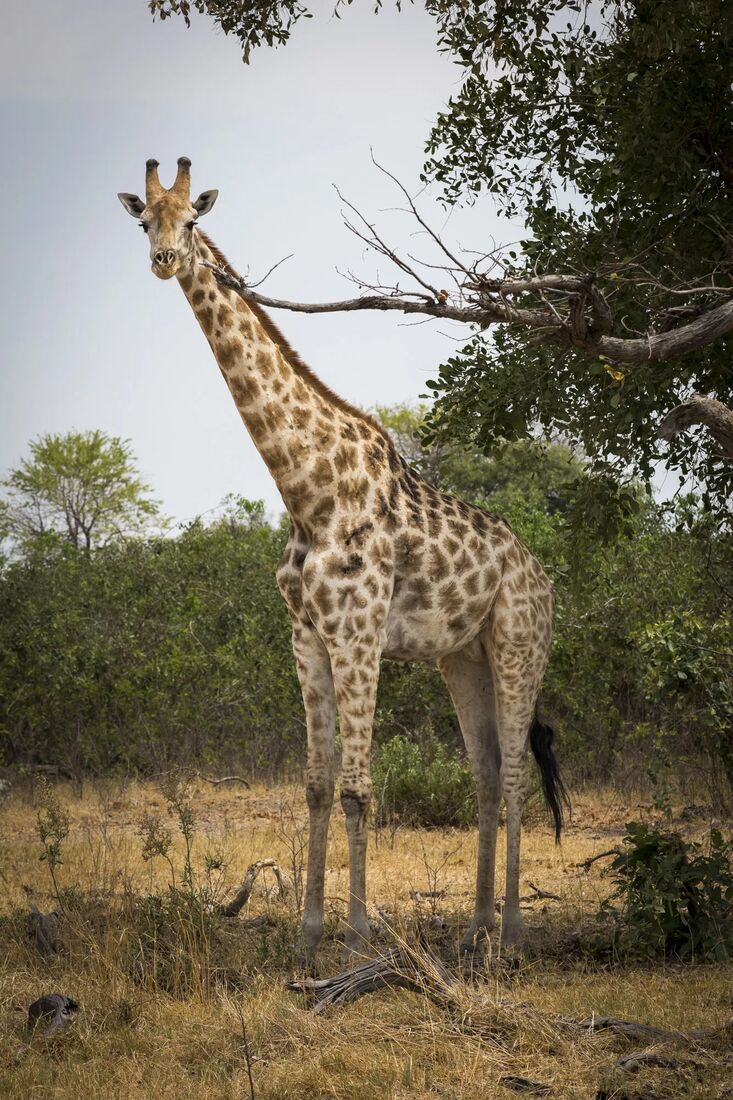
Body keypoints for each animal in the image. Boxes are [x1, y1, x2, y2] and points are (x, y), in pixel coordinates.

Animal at [118, 158, 565, 966]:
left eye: (191, 221)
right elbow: (317, 787)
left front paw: (356, 936)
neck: (307, 490)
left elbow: (359, 786)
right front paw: (306, 935)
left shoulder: (357, 632)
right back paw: (474, 929)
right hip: (464, 655)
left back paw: (511, 937)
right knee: (486, 772)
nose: (164, 260)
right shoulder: (306, 635)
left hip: (521, 642)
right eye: (144, 221)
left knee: (517, 774)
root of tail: (543, 578)